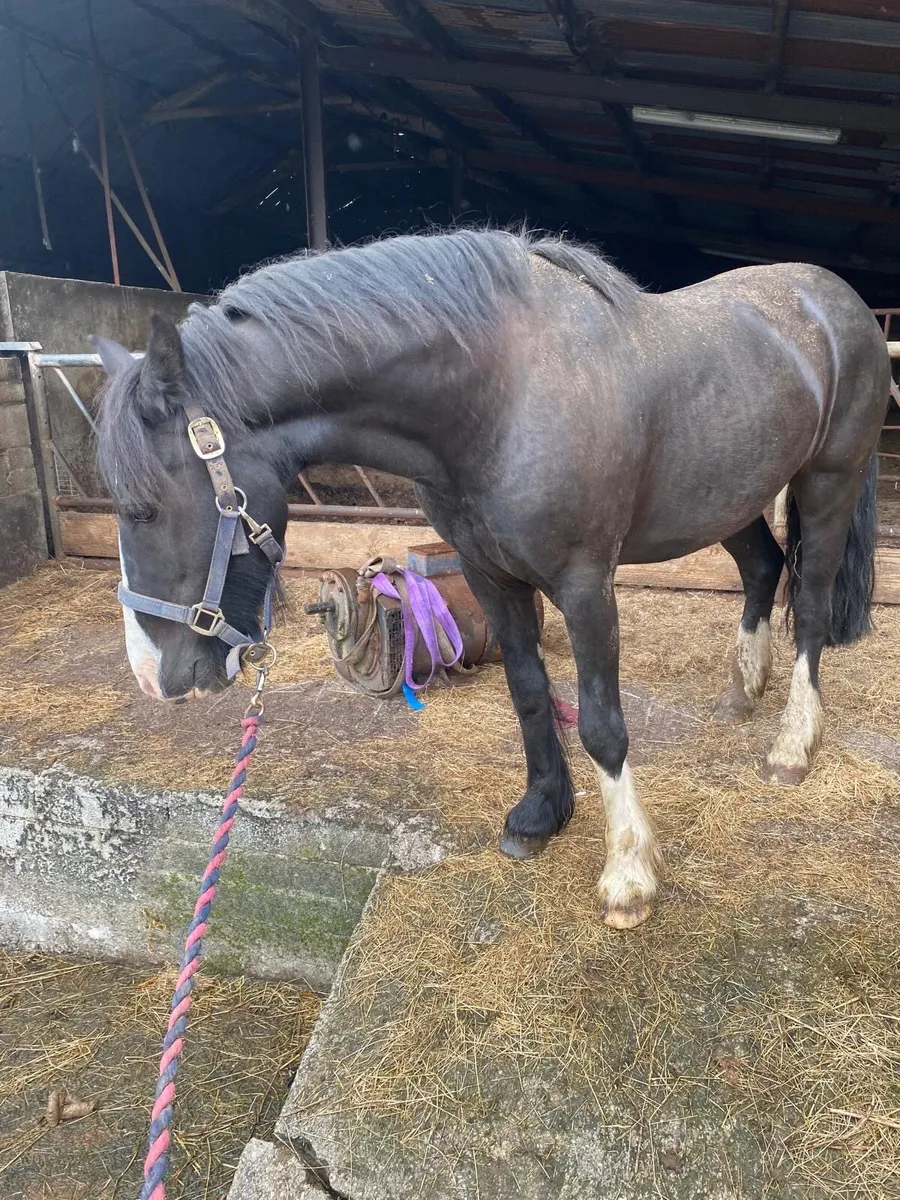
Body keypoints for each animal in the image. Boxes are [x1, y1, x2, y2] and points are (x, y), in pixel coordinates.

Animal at [94, 229, 889, 931]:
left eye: (145, 508)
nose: (149, 675)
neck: (499, 395)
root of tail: (838, 298)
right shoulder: (490, 574)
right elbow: (530, 692)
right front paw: (541, 814)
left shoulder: (584, 584)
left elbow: (602, 723)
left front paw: (628, 875)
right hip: (730, 497)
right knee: (762, 570)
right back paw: (741, 691)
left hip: (828, 484)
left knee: (810, 605)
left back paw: (791, 746)